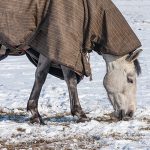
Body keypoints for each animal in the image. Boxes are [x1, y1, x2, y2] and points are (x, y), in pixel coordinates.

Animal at [0, 44, 142, 124]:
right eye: (130, 79)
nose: (130, 113)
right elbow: (70, 79)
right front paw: (80, 114)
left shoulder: (49, 50)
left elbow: (40, 76)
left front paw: (35, 114)